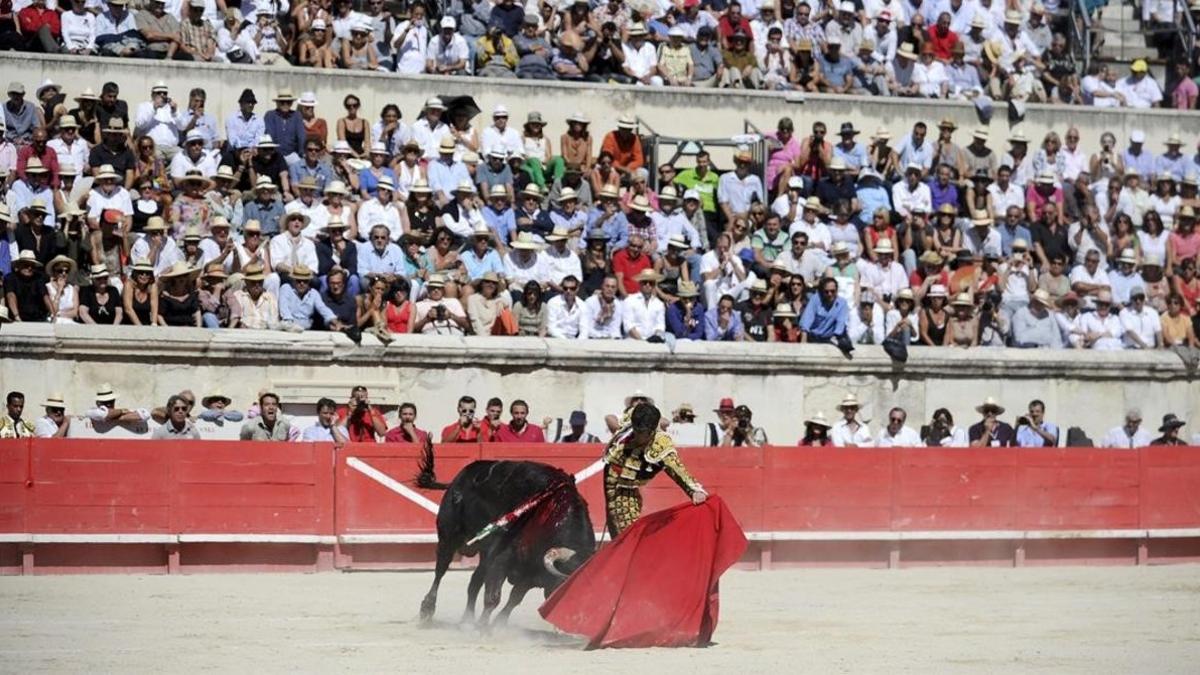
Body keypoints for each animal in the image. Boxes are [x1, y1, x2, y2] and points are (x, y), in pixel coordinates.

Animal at [415, 439, 597, 624]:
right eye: (564, 586)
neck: (550, 512)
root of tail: (457, 480)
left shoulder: (531, 572)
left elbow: (514, 599)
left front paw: (496, 624)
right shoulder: (502, 559)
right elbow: (493, 597)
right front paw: (484, 626)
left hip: (484, 554)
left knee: (474, 583)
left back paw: (466, 620)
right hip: (449, 536)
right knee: (441, 569)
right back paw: (427, 610)